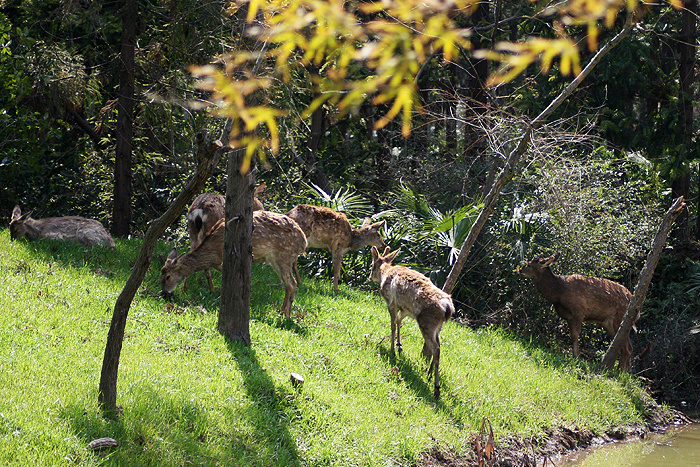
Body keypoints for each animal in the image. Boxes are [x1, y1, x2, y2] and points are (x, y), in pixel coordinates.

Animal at [164, 210, 308, 320]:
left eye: (167, 277)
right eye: (161, 272)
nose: (164, 292)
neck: (213, 251)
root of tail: (304, 241)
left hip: (284, 255)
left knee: (292, 283)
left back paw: (286, 316)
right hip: (276, 260)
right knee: (288, 284)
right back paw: (281, 311)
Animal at [366, 245, 454, 398]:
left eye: (371, 265)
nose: (370, 277)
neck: (385, 273)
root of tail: (447, 306)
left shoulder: (391, 303)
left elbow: (393, 325)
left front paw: (392, 350)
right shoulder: (405, 309)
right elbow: (399, 322)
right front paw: (399, 345)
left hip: (426, 321)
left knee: (435, 348)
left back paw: (436, 387)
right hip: (437, 326)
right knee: (438, 345)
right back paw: (429, 374)